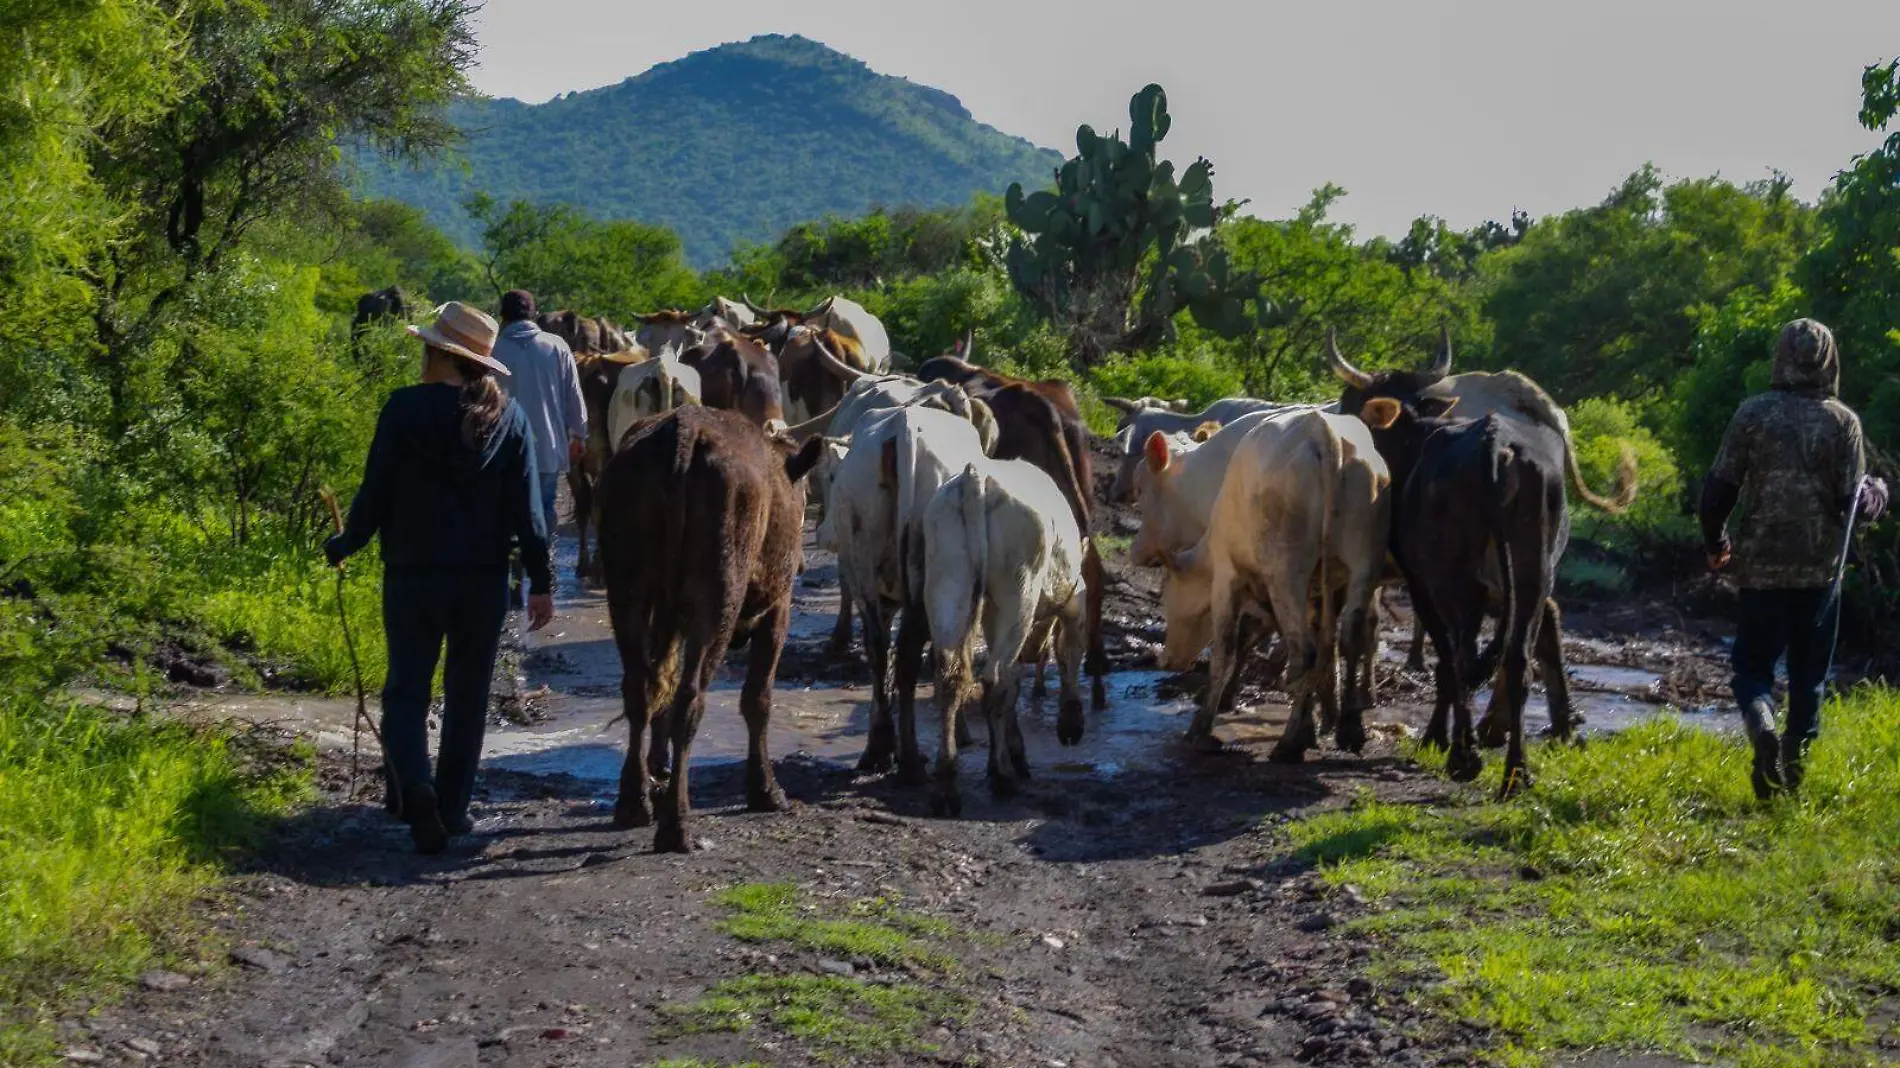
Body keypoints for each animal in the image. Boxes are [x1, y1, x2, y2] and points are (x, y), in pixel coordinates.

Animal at [600, 402, 824, 851]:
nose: (803, 566)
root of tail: (683, 428)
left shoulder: (668, 616)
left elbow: (662, 685)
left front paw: (658, 767)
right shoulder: (778, 609)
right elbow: (757, 698)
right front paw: (765, 790)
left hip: (628, 590)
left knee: (640, 688)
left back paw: (634, 802)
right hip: (717, 601)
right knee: (691, 700)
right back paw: (676, 824)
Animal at [824, 402, 988, 779]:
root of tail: (905, 424)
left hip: (863, 561)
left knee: (879, 650)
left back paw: (879, 749)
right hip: (924, 586)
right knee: (912, 656)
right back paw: (911, 759)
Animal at [919, 452, 1086, 809]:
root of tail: (977, 476)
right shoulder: (1072, 600)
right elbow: (1068, 653)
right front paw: (1070, 722)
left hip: (947, 580)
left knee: (950, 677)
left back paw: (947, 782)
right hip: (1018, 590)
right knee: (995, 679)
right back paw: (1001, 775)